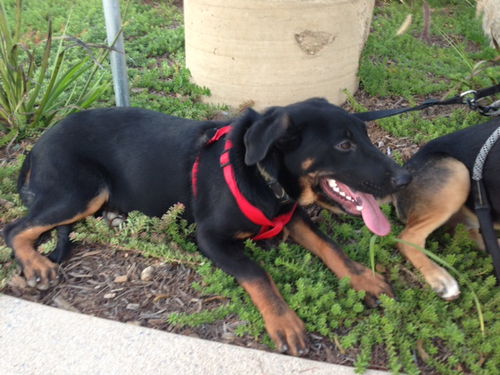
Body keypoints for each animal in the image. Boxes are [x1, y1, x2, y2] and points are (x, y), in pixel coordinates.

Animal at [3, 98, 410, 356]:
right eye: (344, 145)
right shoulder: (210, 238)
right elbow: (257, 273)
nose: (404, 179)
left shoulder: (290, 213)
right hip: (82, 190)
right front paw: (285, 322)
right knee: (15, 229)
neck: (261, 176)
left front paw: (364, 279)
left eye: (366, 137)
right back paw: (36, 264)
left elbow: (329, 246)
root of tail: (37, 145)